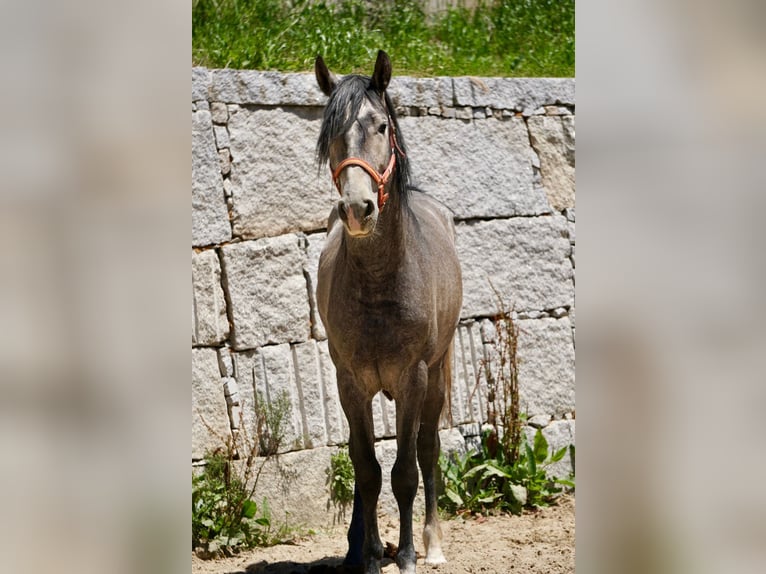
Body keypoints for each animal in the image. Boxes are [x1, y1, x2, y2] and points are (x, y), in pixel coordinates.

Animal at [316, 50, 464, 574]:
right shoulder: (350, 382)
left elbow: (404, 470)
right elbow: (366, 469)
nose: (357, 208)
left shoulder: (413, 376)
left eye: (381, 126)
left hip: (436, 375)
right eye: (330, 131)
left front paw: (406, 556)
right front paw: (370, 556)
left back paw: (432, 544)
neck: (381, 283)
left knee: (427, 449)